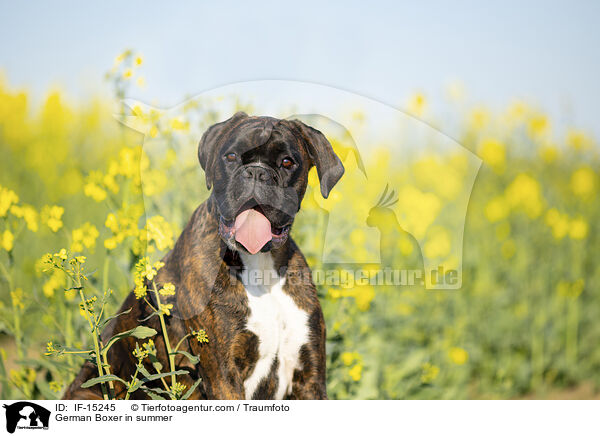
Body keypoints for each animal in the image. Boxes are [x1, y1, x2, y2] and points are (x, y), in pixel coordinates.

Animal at [63, 111, 344, 398]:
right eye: (231, 157)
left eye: (287, 162)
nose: (256, 172)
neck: (259, 264)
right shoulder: (225, 377)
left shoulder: (309, 377)